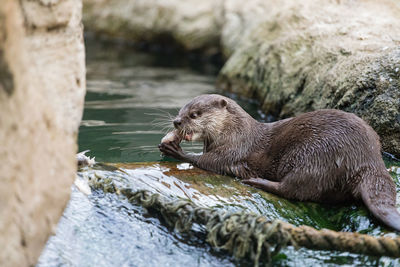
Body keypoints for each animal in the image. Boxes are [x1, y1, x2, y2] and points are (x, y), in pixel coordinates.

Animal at [159, 94, 400, 232]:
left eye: (195, 114)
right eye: (181, 110)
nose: (177, 121)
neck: (235, 132)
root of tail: (368, 160)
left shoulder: (233, 152)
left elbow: (208, 162)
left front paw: (175, 150)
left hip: (312, 155)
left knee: (294, 189)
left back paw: (257, 181)